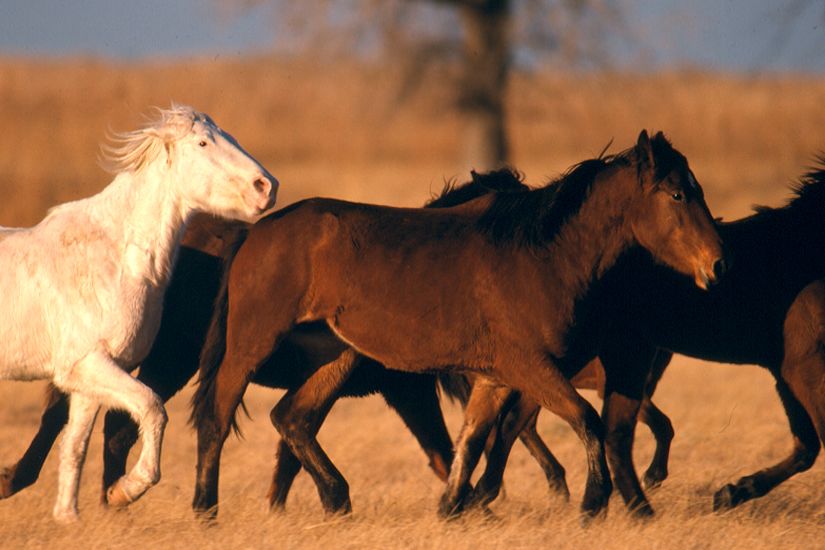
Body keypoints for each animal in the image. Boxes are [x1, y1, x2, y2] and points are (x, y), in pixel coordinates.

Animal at [0, 105, 278, 524]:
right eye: (203, 143)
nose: (266, 187)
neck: (117, 259)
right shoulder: (89, 365)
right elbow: (152, 408)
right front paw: (126, 490)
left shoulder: (89, 379)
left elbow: (74, 446)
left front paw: (70, 518)